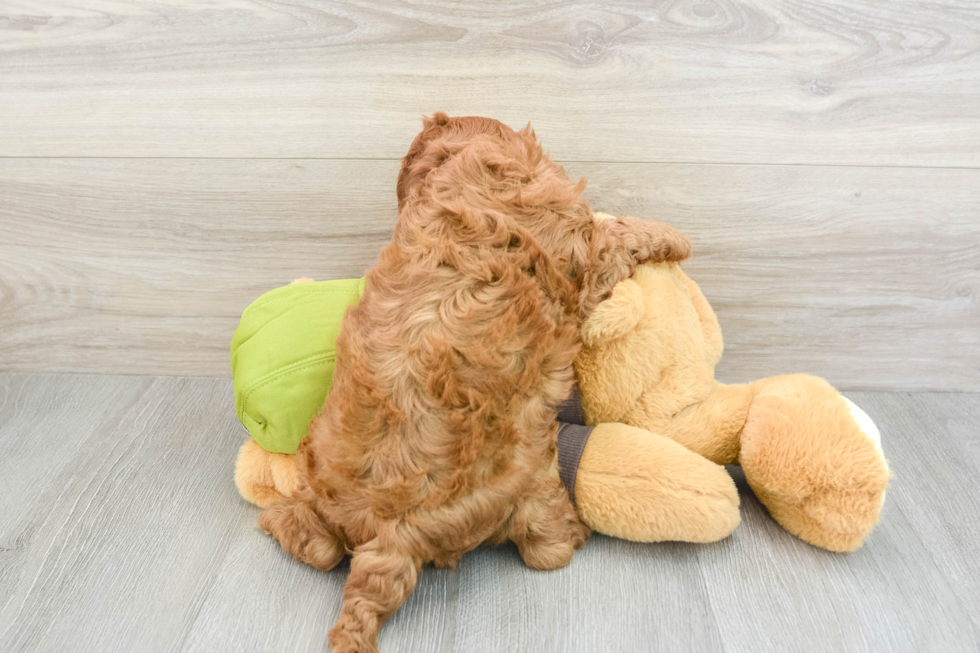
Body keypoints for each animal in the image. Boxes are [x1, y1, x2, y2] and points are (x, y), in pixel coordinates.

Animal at [258, 113, 688, 652]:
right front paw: (674, 237)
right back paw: (573, 533)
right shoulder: (584, 251)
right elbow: (621, 234)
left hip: (318, 478)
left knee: (314, 543)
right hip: (533, 485)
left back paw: (280, 523)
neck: (469, 164)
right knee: (547, 550)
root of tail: (388, 536)